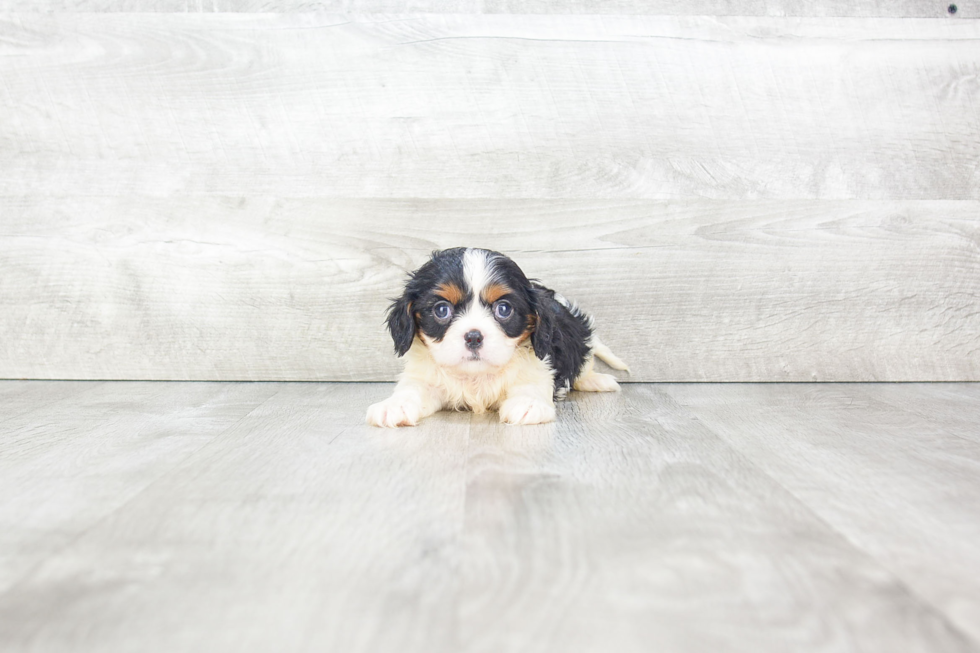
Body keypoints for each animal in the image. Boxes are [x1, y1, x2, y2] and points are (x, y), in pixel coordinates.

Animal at [366, 246, 628, 428]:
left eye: (503, 309)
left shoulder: (538, 367)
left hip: (582, 338)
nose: (473, 336)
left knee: (584, 366)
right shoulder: (425, 379)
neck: (476, 376)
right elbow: (411, 390)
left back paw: (597, 381)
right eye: (441, 310)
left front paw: (528, 403)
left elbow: (531, 386)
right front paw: (394, 406)